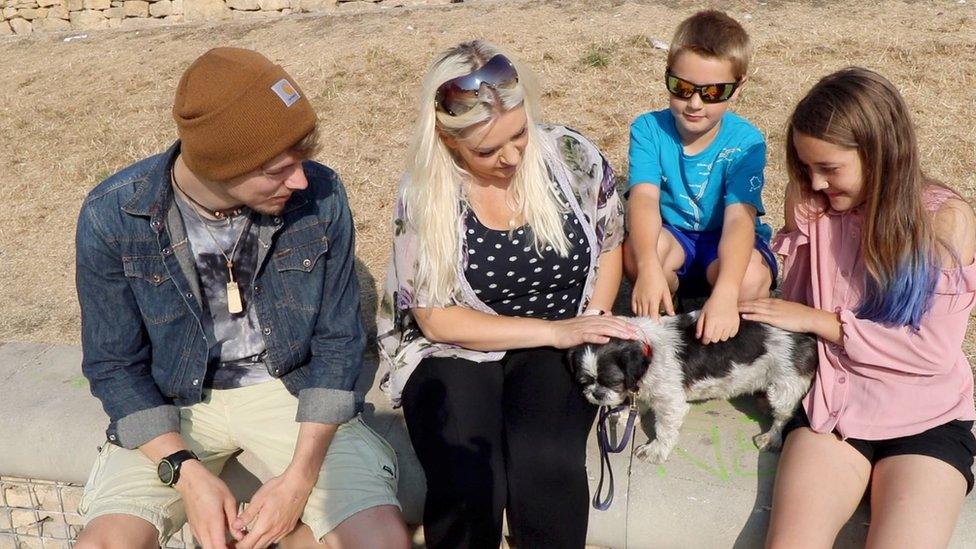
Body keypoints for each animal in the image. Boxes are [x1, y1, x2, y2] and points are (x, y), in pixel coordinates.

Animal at [568, 310, 820, 460]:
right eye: (586, 381)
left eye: (611, 381)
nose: (596, 394)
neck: (648, 348)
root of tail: (806, 335)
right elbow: (639, 402)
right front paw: (628, 415)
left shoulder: (670, 402)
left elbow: (664, 429)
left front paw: (655, 450)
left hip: (784, 386)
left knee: (783, 417)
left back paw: (771, 437)